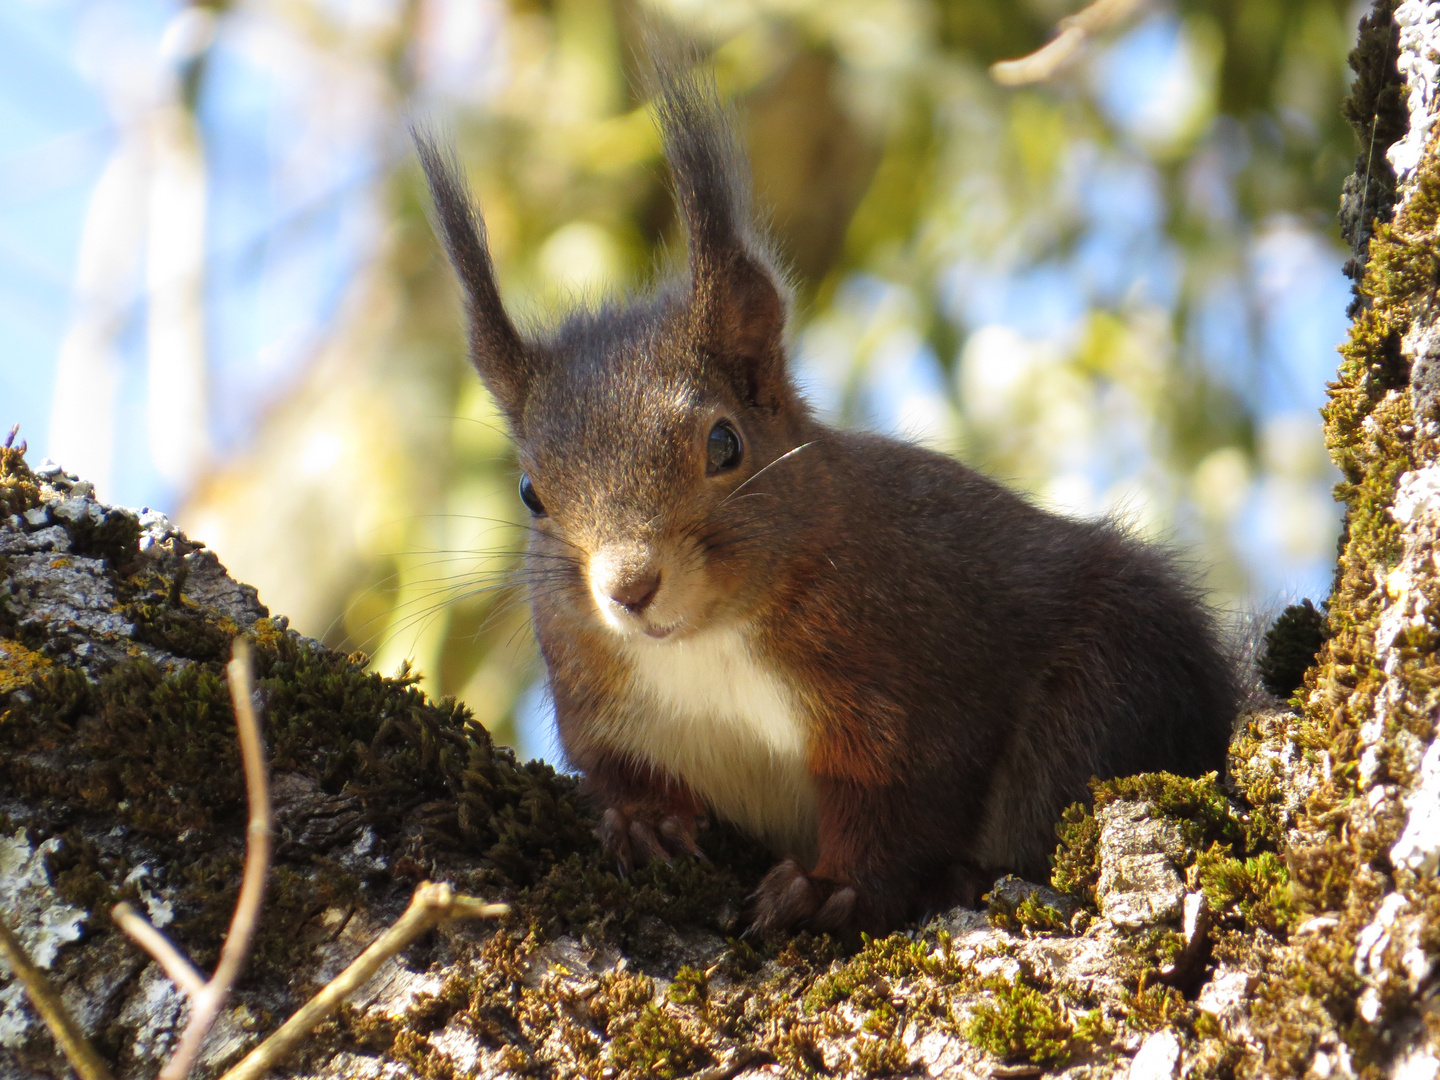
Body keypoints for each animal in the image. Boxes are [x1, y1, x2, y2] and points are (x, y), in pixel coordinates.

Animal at [414, 63, 1238, 938]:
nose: (631, 588)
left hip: (1114, 673)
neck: (707, 643)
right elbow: (618, 773)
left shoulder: (913, 691)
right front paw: (644, 821)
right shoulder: (593, 700)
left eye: (724, 444)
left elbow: (897, 811)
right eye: (531, 492)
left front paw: (829, 889)